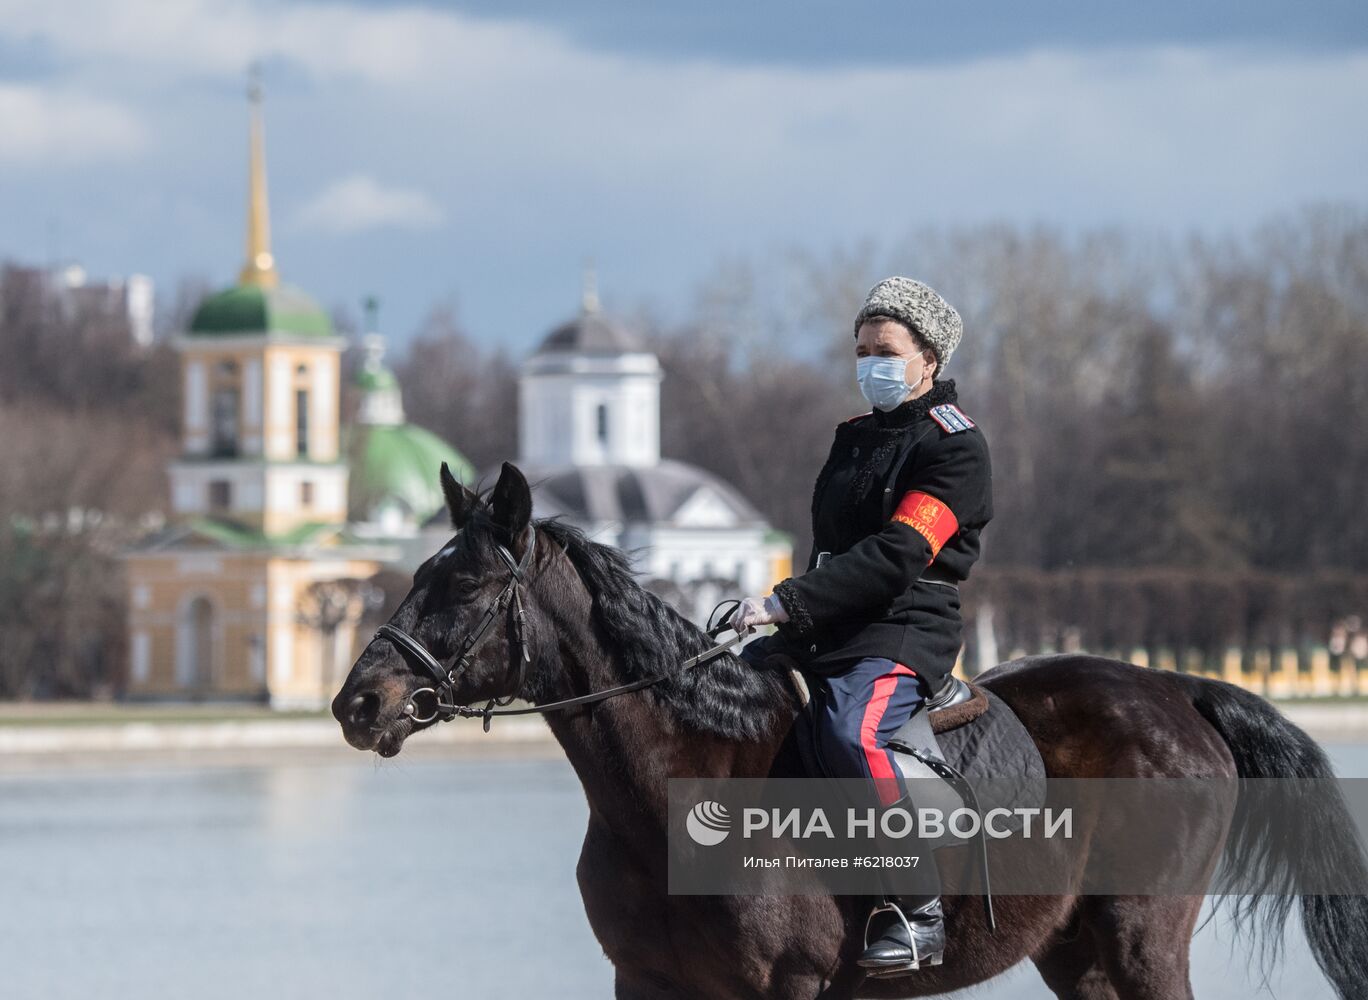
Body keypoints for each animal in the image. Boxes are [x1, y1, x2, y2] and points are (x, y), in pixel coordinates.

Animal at [333, 465, 1368, 995]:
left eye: (467, 584)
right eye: (416, 573)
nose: (358, 704)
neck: (681, 784)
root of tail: (1176, 690)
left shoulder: (786, 988)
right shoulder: (647, 983)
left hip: (1143, 939)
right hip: (1079, 953)